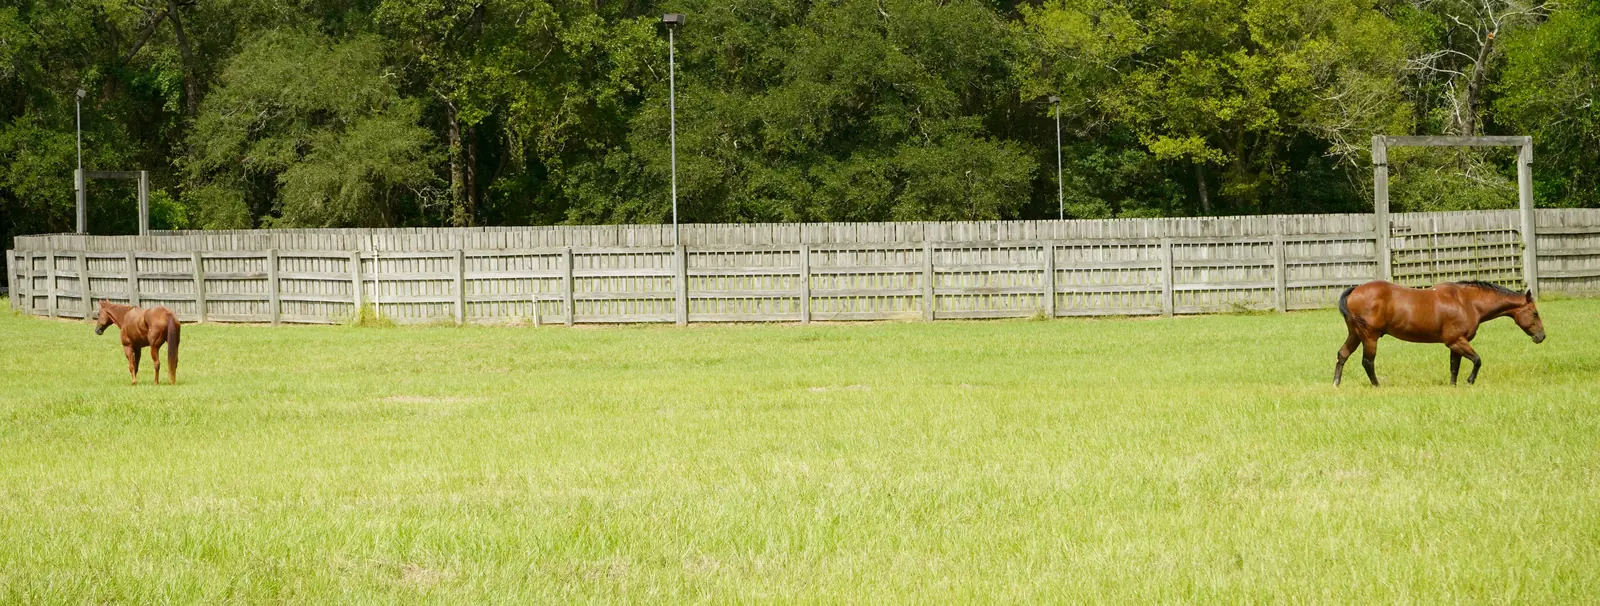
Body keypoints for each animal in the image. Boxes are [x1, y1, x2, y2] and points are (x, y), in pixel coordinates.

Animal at [1334, 280, 1544, 387]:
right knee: (1367, 362)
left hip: (1355, 335)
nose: (1542, 336)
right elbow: (1477, 360)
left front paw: (1453, 386)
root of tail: (1355, 290)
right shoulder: (1457, 341)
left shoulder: (1455, 343)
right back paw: (1377, 385)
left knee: (1342, 354)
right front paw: (1470, 381)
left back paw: (1336, 383)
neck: (1467, 302)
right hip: (1369, 337)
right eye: (1534, 313)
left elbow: (1454, 367)